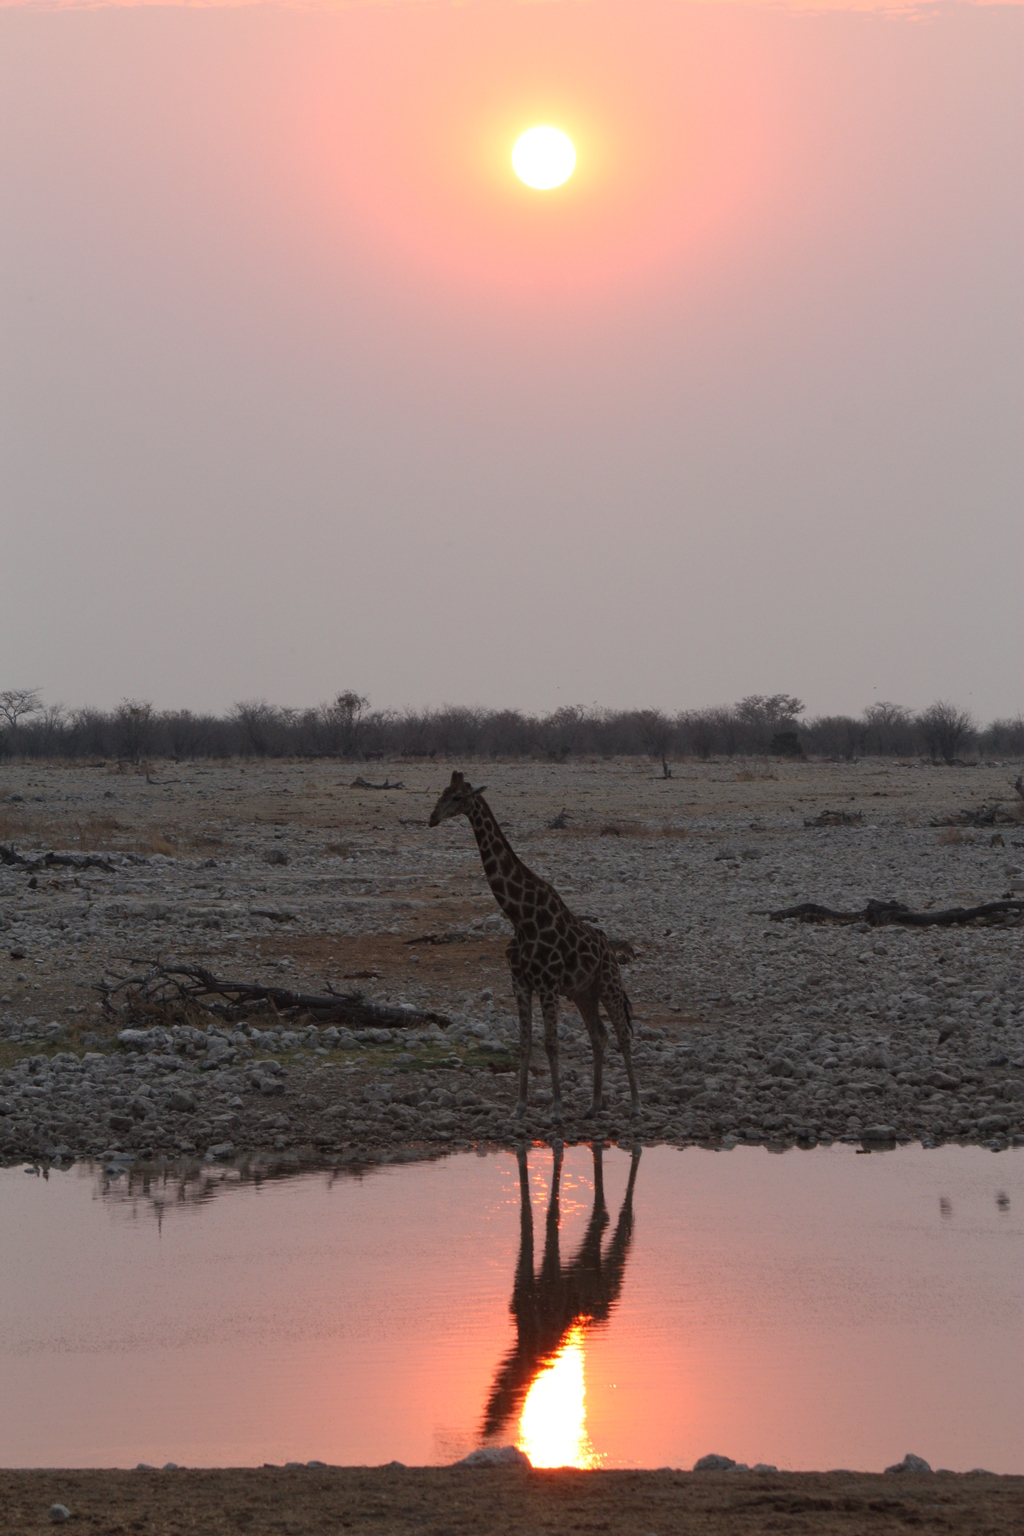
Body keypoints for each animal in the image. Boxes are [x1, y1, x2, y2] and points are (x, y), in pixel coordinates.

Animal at [428, 771, 641, 1123]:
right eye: (441, 793)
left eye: (458, 797)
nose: (432, 817)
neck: (520, 916)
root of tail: (610, 950)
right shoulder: (520, 982)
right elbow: (525, 1042)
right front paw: (519, 1107)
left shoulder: (548, 983)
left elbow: (551, 1043)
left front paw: (555, 1110)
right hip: (584, 992)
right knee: (599, 1035)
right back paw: (594, 1105)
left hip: (608, 982)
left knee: (623, 1034)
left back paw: (636, 1105)